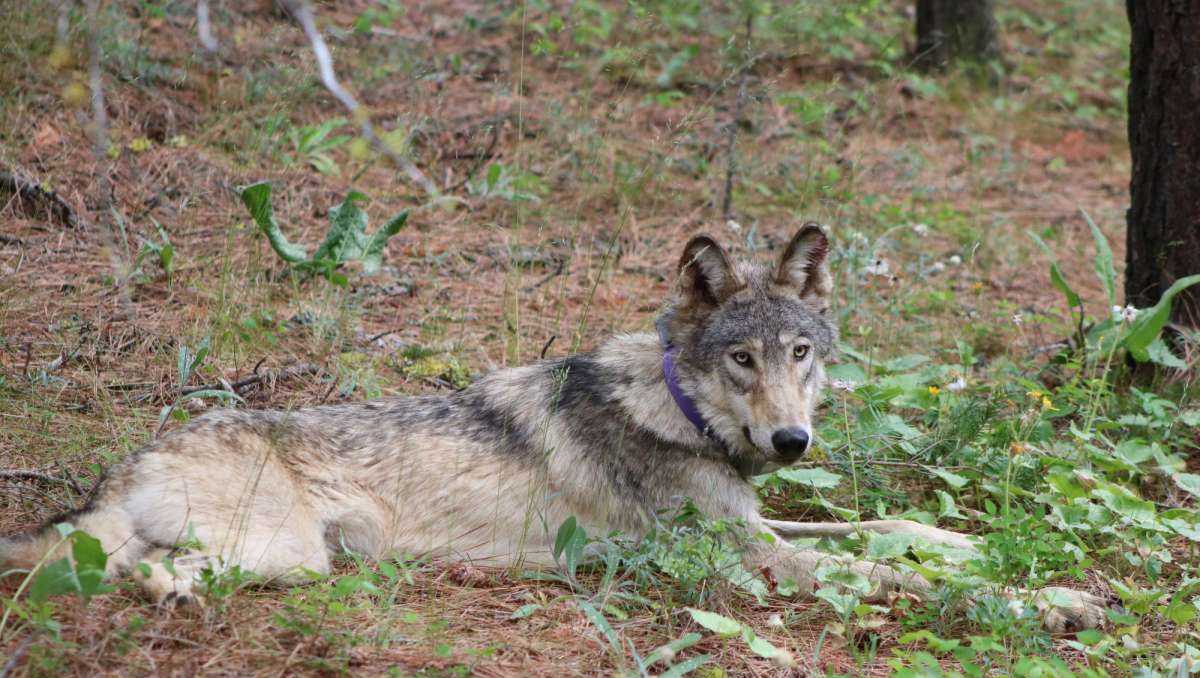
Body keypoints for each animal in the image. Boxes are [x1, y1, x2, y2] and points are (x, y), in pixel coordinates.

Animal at [1, 224, 1106, 632]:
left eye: (802, 353)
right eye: (740, 360)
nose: (792, 444)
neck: (677, 408)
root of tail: (132, 458)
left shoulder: (755, 527)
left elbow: (889, 531)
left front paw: (971, 546)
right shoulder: (749, 561)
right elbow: (883, 573)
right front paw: (1048, 600)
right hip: (287, 556)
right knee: (132, 571)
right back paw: (163, 596)